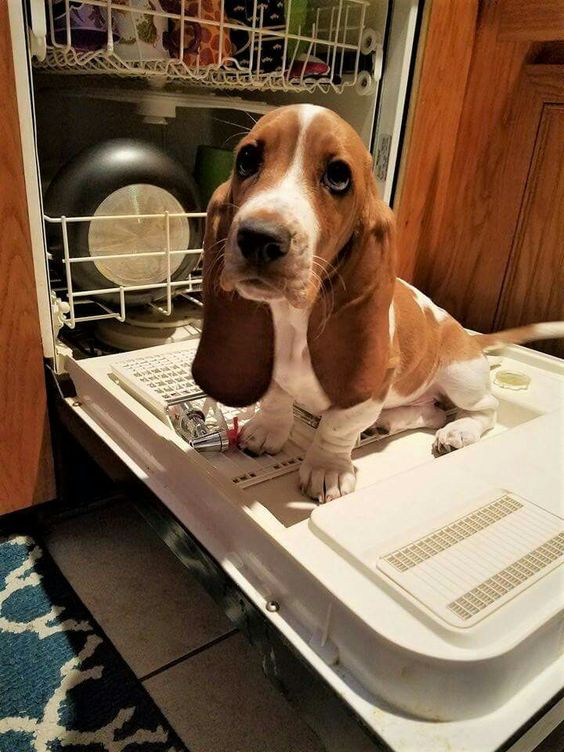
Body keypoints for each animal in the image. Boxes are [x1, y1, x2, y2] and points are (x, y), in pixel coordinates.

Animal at [193, 103, 564, 502]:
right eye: (247, 159)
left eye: (339, 176)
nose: (259, 238)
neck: (295, 320)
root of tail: (469, 337)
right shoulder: (274, 370)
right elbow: (277, 400)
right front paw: (267, 432)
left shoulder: (368, 390)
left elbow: (336, 427)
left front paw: (327, 469)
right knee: (432, 412)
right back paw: (387, 424)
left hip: (461, 376)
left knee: (484, 409)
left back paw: (457, 432)